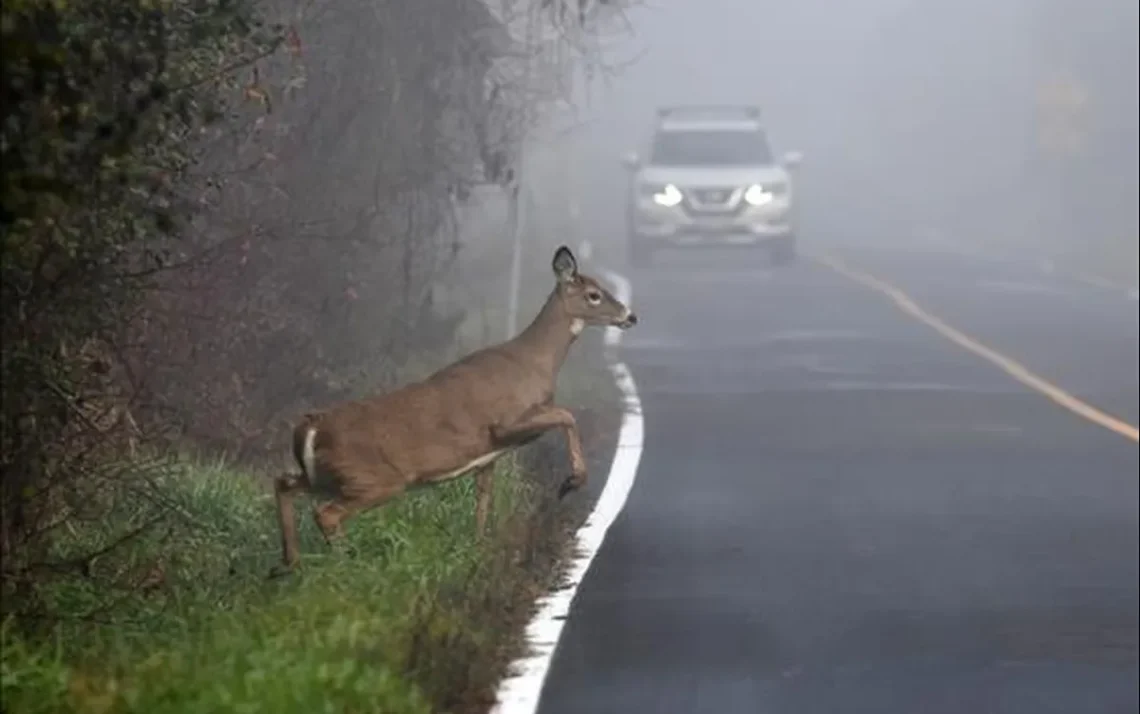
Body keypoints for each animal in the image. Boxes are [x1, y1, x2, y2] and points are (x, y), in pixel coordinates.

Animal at [271, 244, 638, 572]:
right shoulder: (504, 422)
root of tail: (311, 427)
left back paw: (291, 564)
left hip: (327, 477)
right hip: (374, 479)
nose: (631, 316)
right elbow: (567, 415)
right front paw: (572, 482)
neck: (536, 362)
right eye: (594, 294)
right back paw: (346, 564)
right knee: (325, 513)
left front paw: (478, 549)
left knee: (284, 484)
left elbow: (483, 499)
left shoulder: (489, 454)